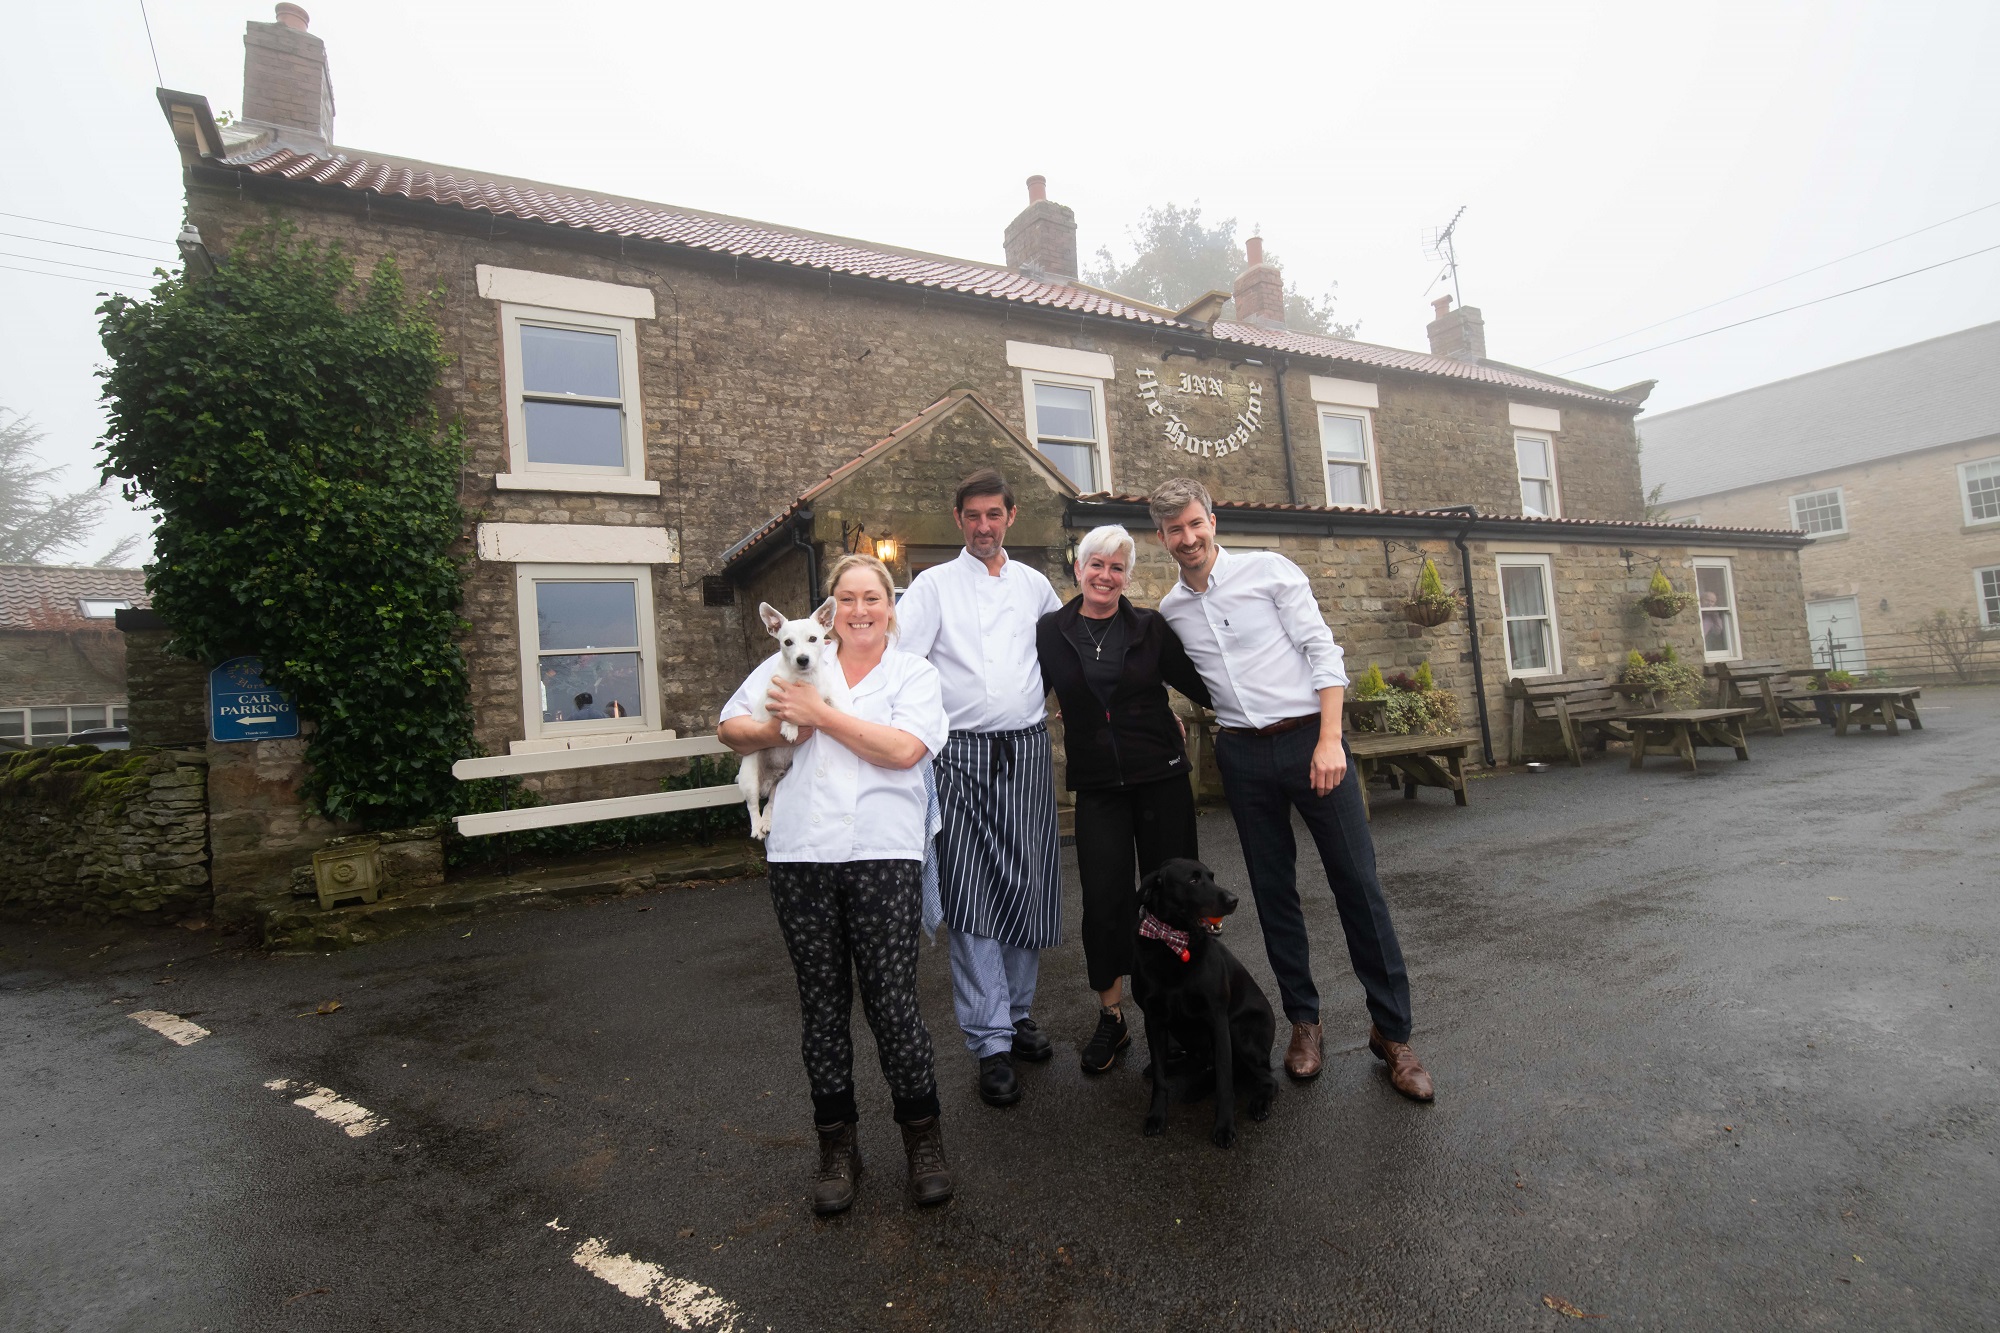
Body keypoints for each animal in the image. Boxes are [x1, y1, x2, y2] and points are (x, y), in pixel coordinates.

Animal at [744, 596, 852, 836]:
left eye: (813, 639)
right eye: (787, 642)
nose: (802, 659)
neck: (805, 679)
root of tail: (769, 777)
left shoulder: (824, 696)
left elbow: (834, 703)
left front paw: (847, 713)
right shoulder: (774, 700)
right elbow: (788, 709)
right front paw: (790, 728)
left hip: (779, 783)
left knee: (771, 803)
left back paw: (767, 822)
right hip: (749, 779)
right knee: (753, 804)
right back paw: (757, 827)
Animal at [1136, 856, 1272, 1144]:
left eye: (1212, 877)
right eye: (1193, 880)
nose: (1234, 899)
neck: (1174, 946)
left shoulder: (1217, 1020)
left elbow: (1224, 1082)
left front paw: (1225, 1127)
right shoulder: (1153, 1020)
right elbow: (1160, 1080)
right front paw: (1156, 1116)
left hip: (1240, 1032)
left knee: (1265, 1078)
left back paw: (1259, 1102)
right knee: (1194, 1060)